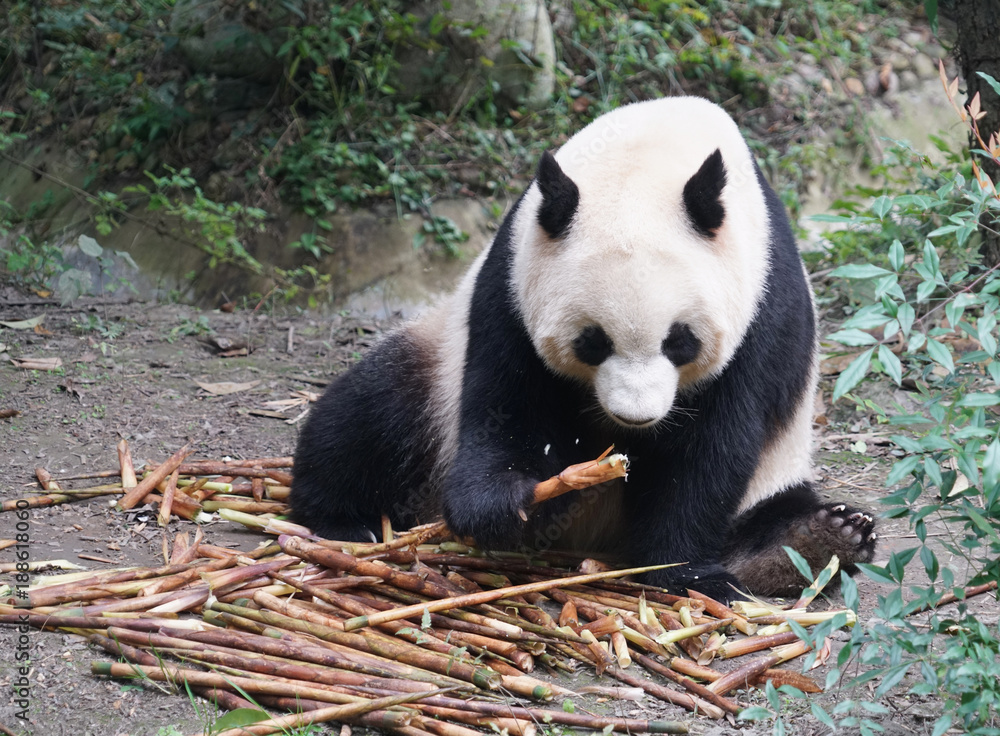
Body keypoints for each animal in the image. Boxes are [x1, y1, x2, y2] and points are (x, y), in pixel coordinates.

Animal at [291, 97, 877, 602]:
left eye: (680, 341)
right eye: (592, 342)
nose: (636, 417)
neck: (652, 154)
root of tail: (595, 541)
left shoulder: (761, 306)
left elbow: (714, 446)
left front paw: (680, 568)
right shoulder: (510, 282)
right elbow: (506, 404)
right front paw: (517, 503)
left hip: (781, 464)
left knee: (779, 505)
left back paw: (813, 541)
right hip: (433, 368)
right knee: (370, 415)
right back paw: (344, 520)